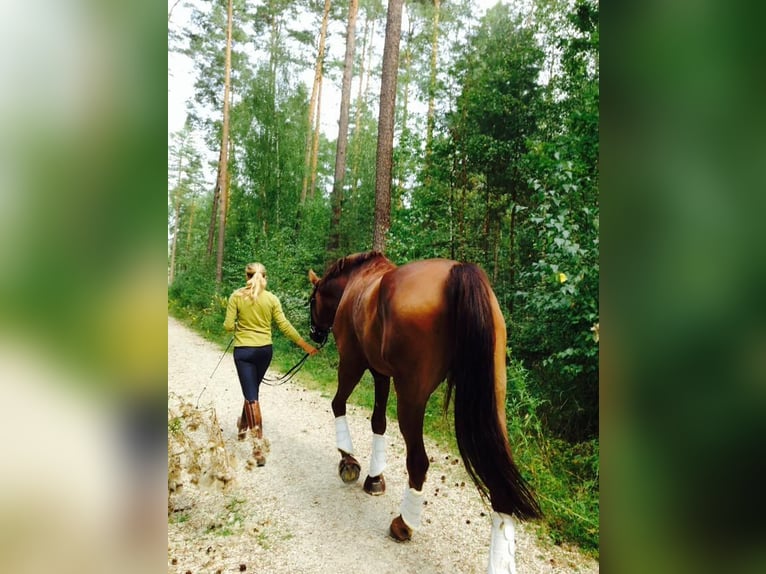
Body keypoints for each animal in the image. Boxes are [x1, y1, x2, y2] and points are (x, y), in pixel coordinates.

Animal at [306, 253, 540, 574]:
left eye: (312, 300)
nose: (314, 333)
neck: (356, 284)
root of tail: (458, 271)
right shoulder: (380, 372)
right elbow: (378, 422)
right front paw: (374, 478)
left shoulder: (353, 362)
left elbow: (338, 405)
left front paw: (348, 462)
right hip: (494, 399)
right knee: (499, 481)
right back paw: (499, 561)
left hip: (411, 395)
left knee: (418, 461)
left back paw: (403, 524)